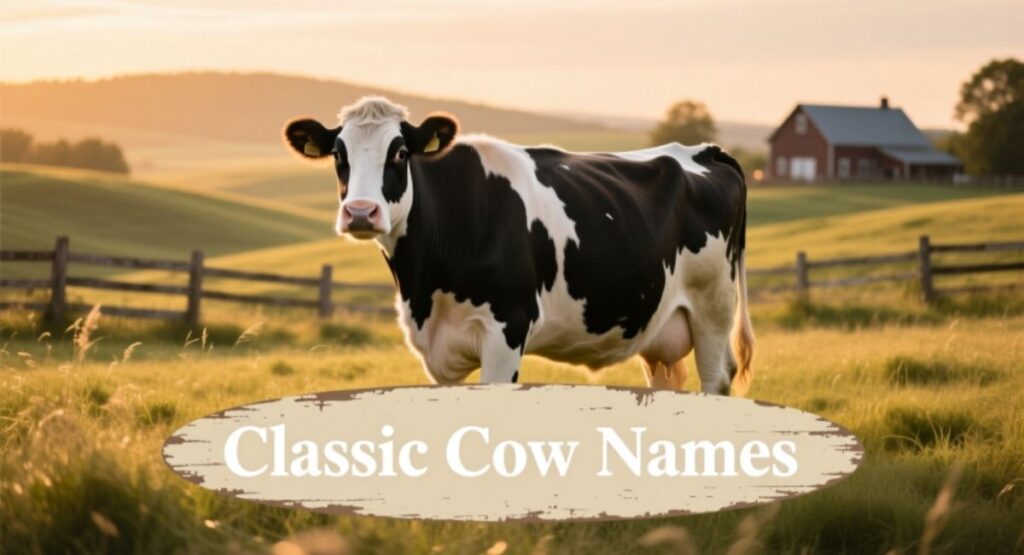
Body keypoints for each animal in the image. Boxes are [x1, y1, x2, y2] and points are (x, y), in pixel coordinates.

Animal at [283, 97, 754, 395]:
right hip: (658, 325)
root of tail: (704, 150)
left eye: (399, 153)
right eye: (338, 155)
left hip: (713, 307)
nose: (361, 212)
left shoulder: (506, 327)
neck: (425, 286)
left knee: (716, 379)